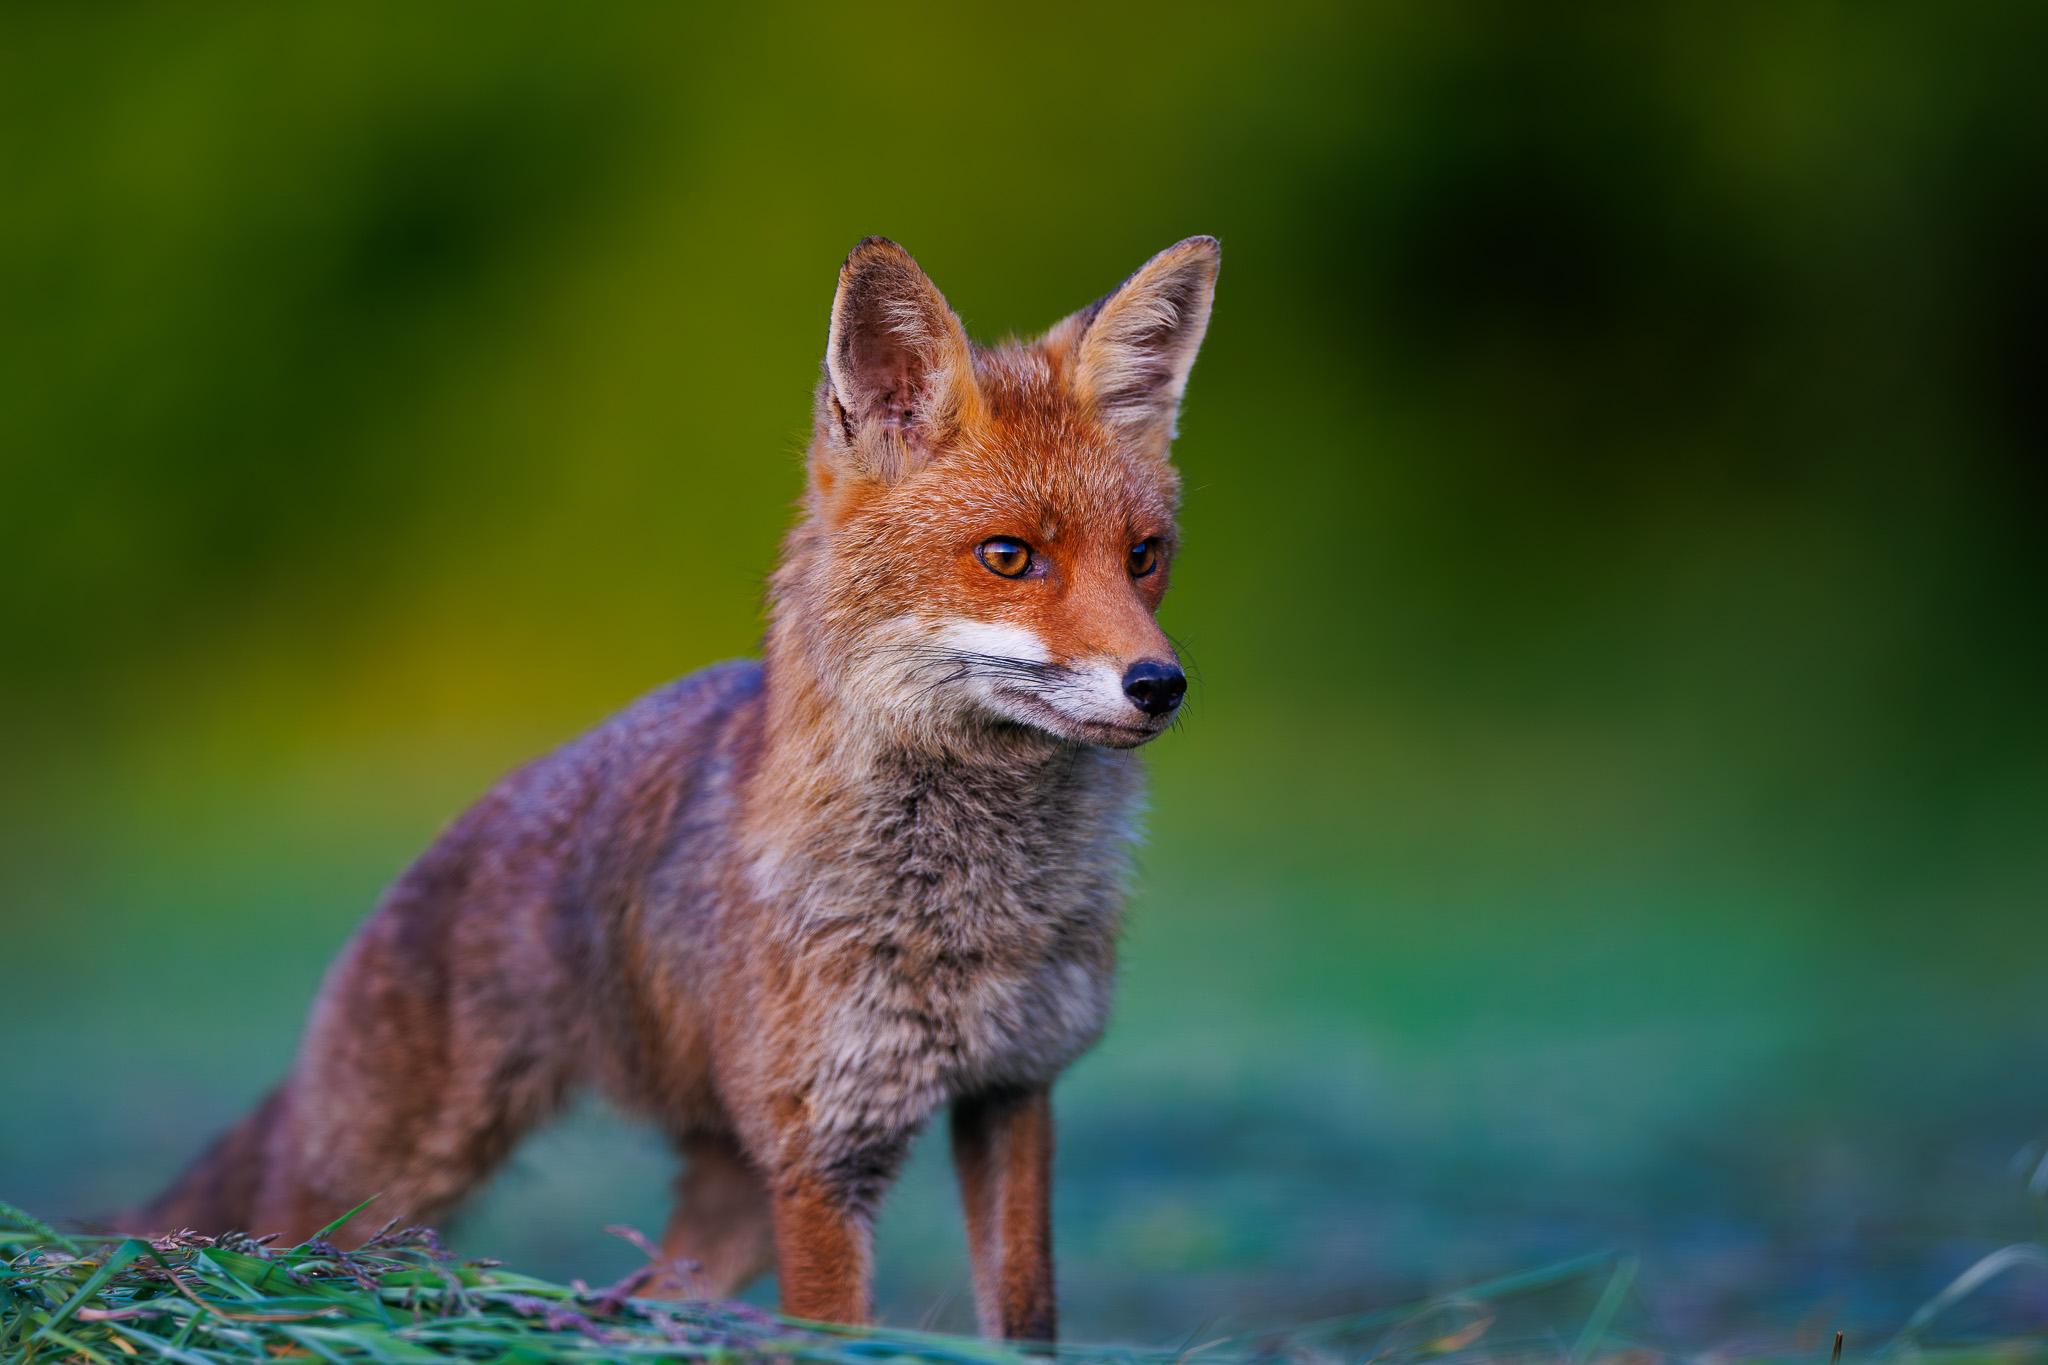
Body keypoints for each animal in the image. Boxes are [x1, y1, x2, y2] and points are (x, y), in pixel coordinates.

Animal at [132, 234, 1220, 1340]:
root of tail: (469, 817)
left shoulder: (1013, 1088)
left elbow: (1025, 1315)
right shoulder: (822, 1151)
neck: (969, 908)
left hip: (728, 1199)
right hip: (381, 1179)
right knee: (268, 1240)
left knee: (650, 1299)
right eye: (1008, 555)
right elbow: (834, 1330)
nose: (1159, 685)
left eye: (1143, 556)